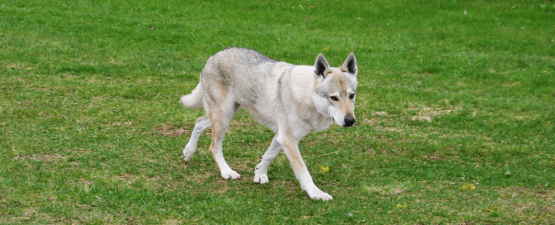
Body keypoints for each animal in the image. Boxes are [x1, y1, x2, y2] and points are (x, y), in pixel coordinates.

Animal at [180, 48, 358, 200]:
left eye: (351, 96)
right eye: (333, 97)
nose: (350, 121)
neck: (307, 96)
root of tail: (213, 56)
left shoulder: (282, 136)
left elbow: (269, 156)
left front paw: (259, 174)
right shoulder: (288, 139)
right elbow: (303, 171)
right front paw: (316, 193)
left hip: (226, 115)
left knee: (199, 122)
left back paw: (188, 152)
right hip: (223, 117)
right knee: (213, 147)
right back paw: (227, 172)